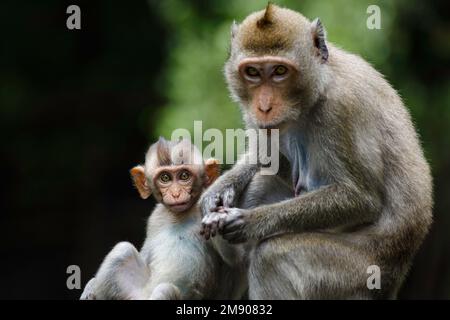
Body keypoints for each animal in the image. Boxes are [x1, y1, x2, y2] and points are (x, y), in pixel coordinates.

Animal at [79, 138, 244, 300]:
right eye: (165, 178)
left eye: (184, 176)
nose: (176, 194)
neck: (181, 214)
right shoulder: (155, 217)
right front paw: (91, 286)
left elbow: (236, 258)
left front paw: (216, 217)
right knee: (122, 250)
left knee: (165, 290)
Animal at [200, 4, 432, 300]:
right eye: (252, 72)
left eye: (279, 71)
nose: (263, 107)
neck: (318, 86)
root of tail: (396, 274)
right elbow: (266, 158)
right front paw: (218, 191)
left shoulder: (341, 108)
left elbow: (360, 198)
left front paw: (250, 221)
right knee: (262, 184)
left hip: (352, 274)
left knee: (271, 258)